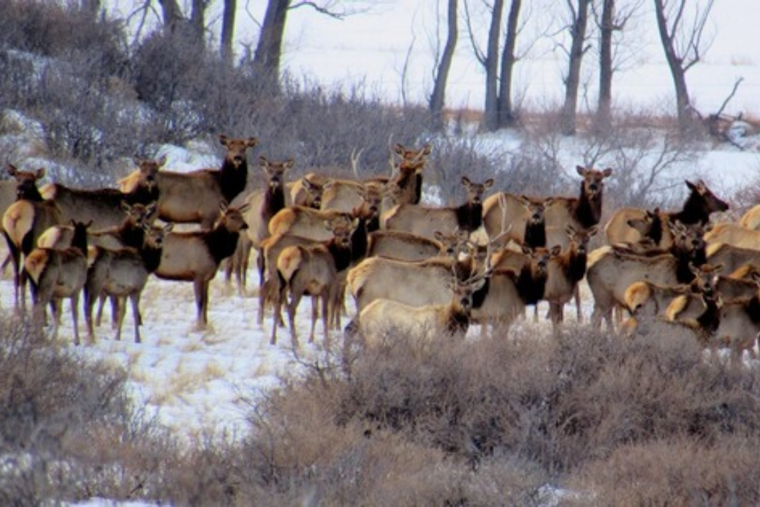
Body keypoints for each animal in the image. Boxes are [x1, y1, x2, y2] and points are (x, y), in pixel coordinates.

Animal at [118, 134, 257, 230]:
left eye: (244, 148)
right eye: (229, 147)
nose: (237, 158)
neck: (225, 188)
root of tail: (124, 181)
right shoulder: (208, 215)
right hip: (150, 213)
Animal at [271, 217, 358, 347]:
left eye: (348, 232)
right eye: (335, 232)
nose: (344, 241)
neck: (336, 261)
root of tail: (286, 260)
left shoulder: (314, 291)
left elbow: (314, 314)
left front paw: (311, 339)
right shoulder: (326, 287)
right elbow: (325, 313)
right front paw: (326, 341)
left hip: (282, 282)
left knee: (277, 304)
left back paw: (273, 339)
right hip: (298, 285)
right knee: (291, 309)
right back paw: (295, 342)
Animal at [482, 165, 612, 245]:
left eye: (600, 179)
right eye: (586, 178)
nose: (592, 187)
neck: (582, 217)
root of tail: (485, 205)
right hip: (498, 235)